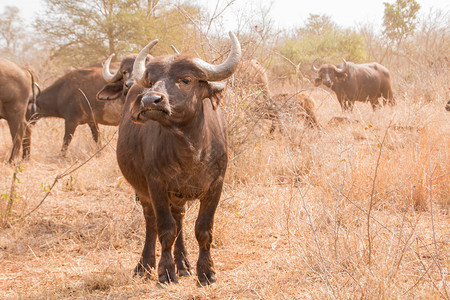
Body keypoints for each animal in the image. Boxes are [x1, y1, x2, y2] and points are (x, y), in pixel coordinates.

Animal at [107, 32, 241, 286]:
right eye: (152, 81)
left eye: (186, 79)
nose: (150, 100)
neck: (191, 150)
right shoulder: (156, 185)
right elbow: (165, 229)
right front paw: (166, 271)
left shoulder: (216, 185)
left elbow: (203, 229)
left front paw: (205, 272)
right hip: (143, 192)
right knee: (152, 222)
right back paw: (145, 266)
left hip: (178, 196)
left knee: (179, 219)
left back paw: (184, 264)